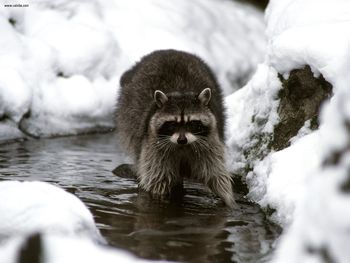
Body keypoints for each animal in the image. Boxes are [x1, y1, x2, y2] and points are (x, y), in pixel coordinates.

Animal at [115, 50, 235, 208]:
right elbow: (157, 181)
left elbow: (217, 176)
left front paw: (229, 202)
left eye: (192, 123)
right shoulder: (154, 148)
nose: (182, 140)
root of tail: (169, 51)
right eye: (172, 124)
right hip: (129, 121)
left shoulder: (209, 144)